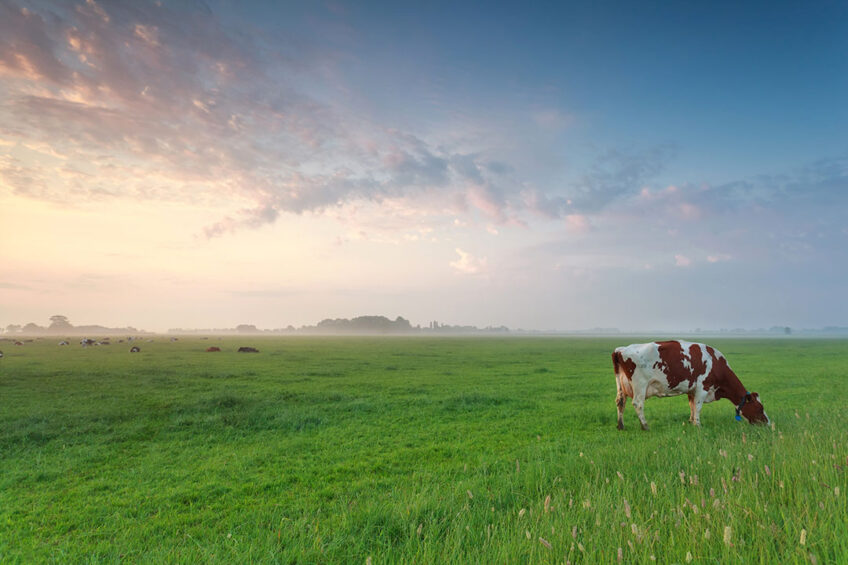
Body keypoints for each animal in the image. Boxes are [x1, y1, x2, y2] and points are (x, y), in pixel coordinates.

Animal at [608, 340, 768, 428]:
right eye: (760, 408)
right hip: (640, 384)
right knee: (638, 404)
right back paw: (645, 426)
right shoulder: (703, 387)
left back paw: (621, 426)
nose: (767, 423)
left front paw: (691, 422)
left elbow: (692, 405)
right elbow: (698, 406)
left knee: (620, 402)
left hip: (621, 385)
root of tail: (621, 349)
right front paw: (698, 425)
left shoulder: (692, 389)